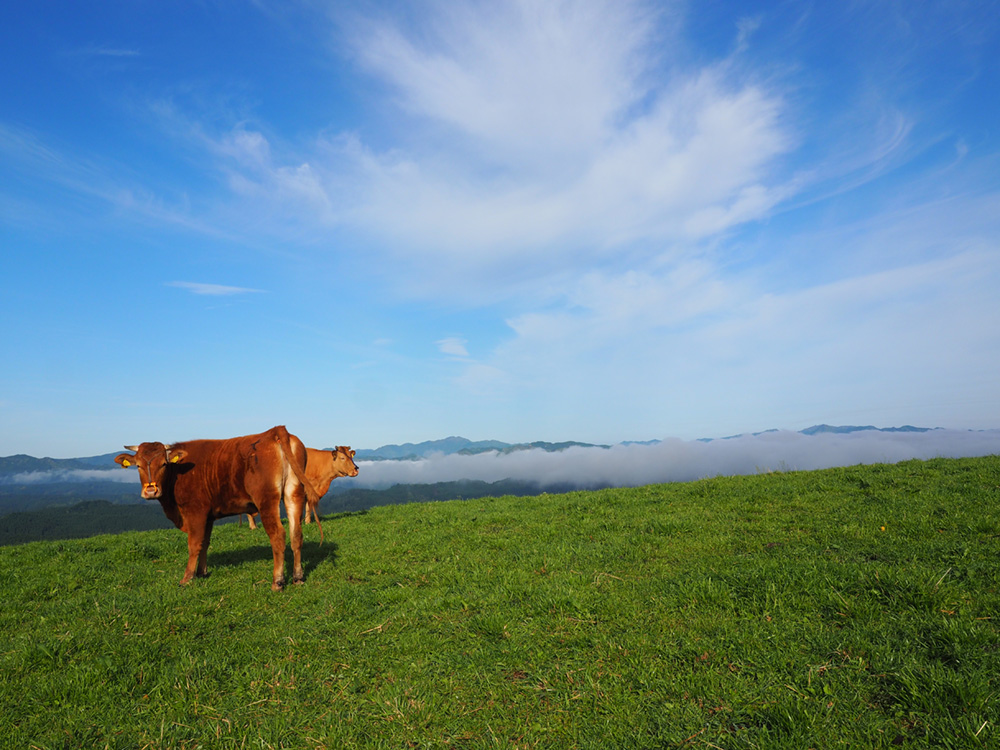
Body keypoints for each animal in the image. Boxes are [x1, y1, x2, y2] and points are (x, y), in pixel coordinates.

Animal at [116, 426, 320, 592]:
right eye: (138, 465)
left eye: (163, 464)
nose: (151, 490)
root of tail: (274, 432)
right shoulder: (208, 516)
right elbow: (204, 543)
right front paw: (202, 572)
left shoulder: (196, 511)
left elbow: (194, 545)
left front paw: (187, 578)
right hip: (294, 494)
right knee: (296, 534)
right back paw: (298, 577)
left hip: (266, 499)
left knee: (278, 535)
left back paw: (277, 582)